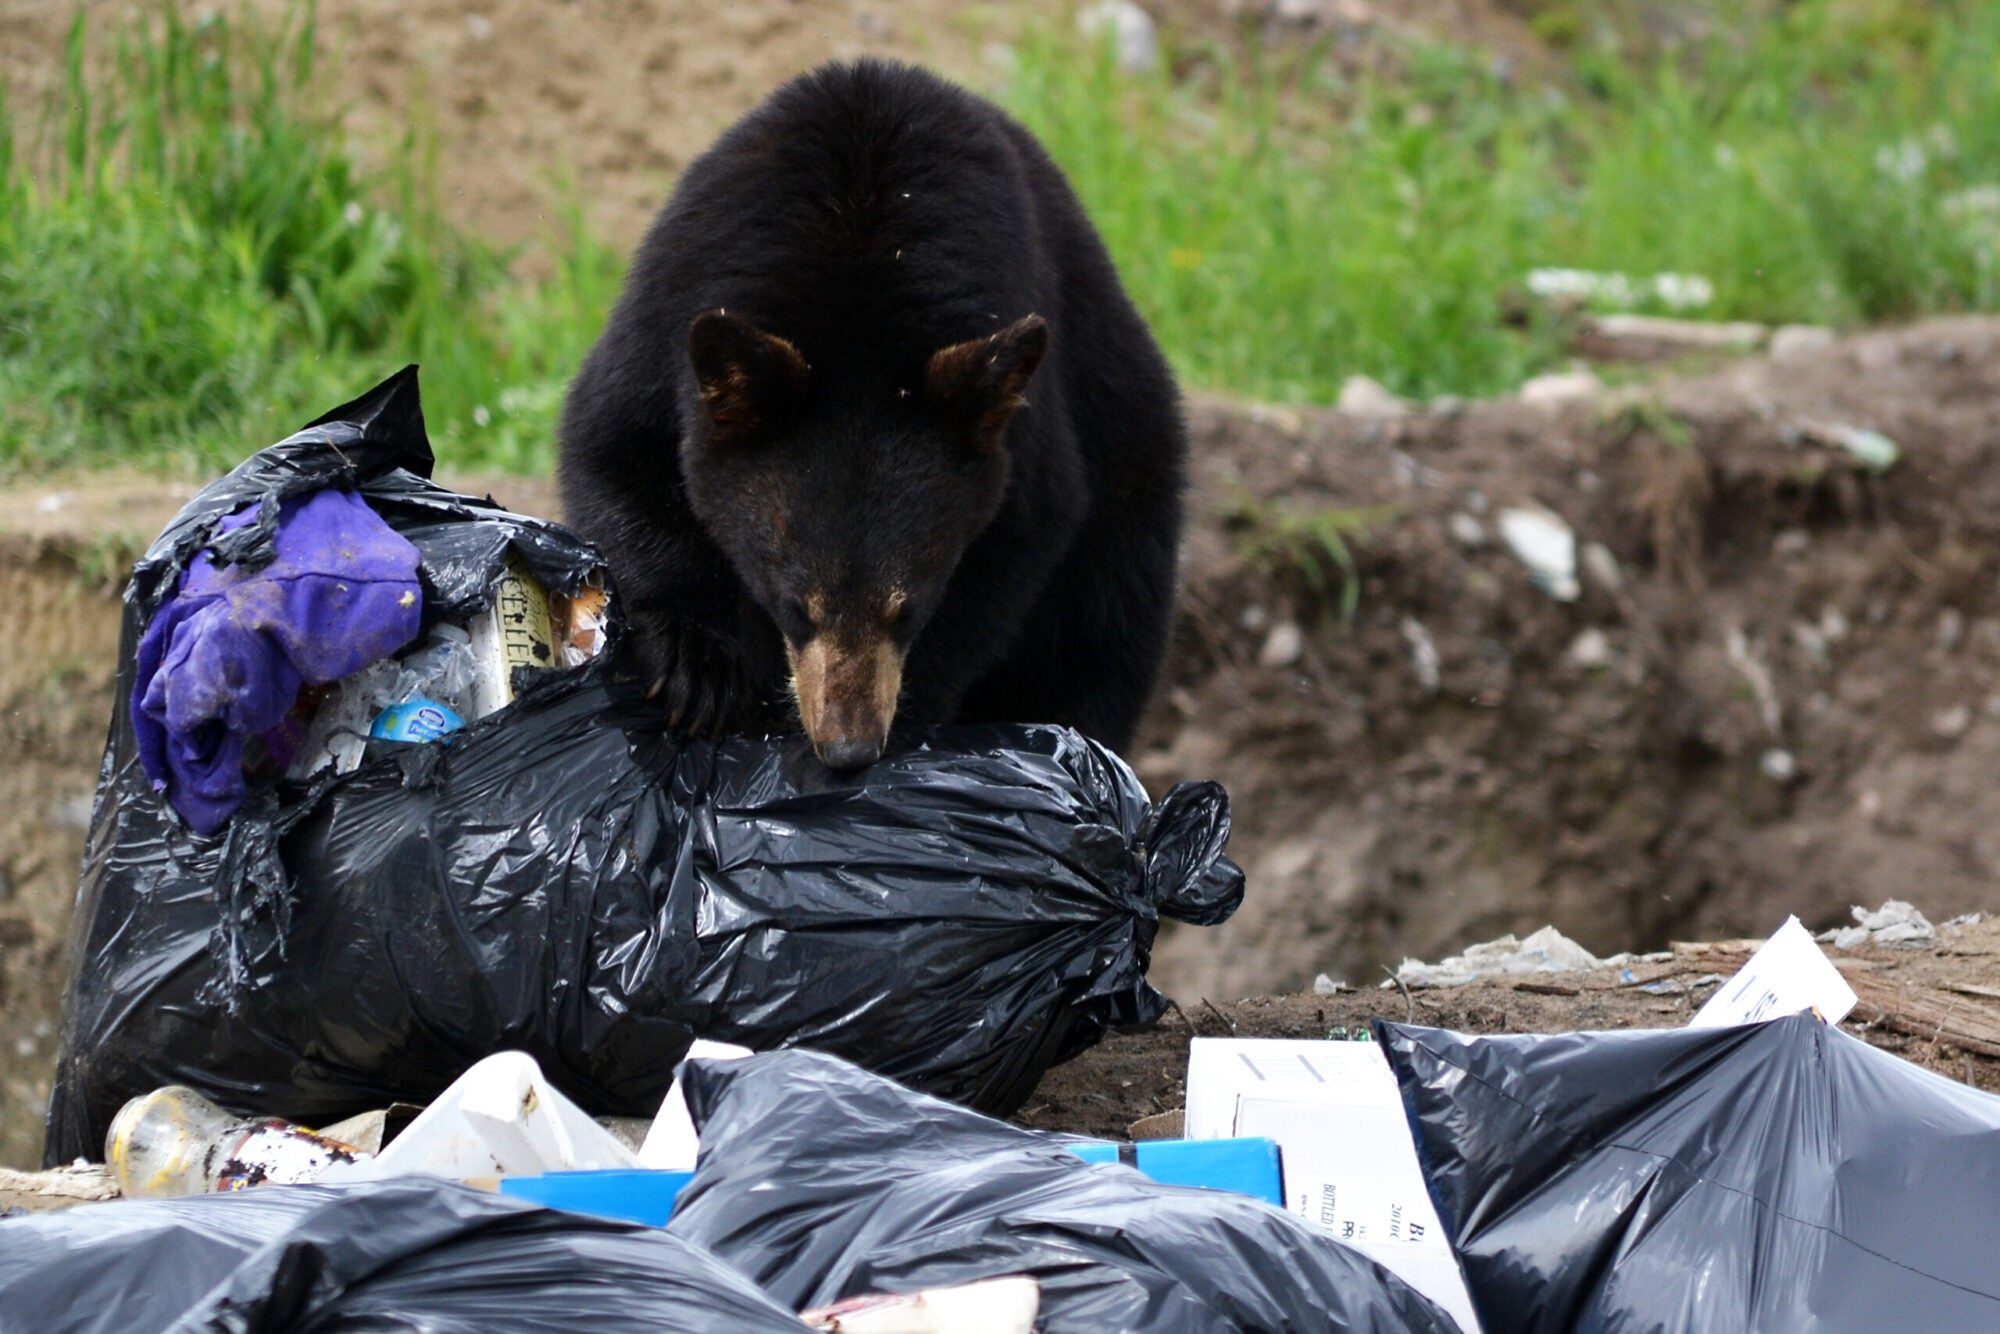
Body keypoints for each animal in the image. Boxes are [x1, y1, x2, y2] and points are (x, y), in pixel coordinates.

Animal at [558, 59, 1186, 769]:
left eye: (905, 611)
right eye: (795, 608)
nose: (848, 747)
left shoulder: (1020, 432)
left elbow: (1017, 539)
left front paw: (911, 718)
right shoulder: (668, 310)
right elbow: (614, 452)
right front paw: (700, 671)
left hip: (1127, 499)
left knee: (1099, 637)